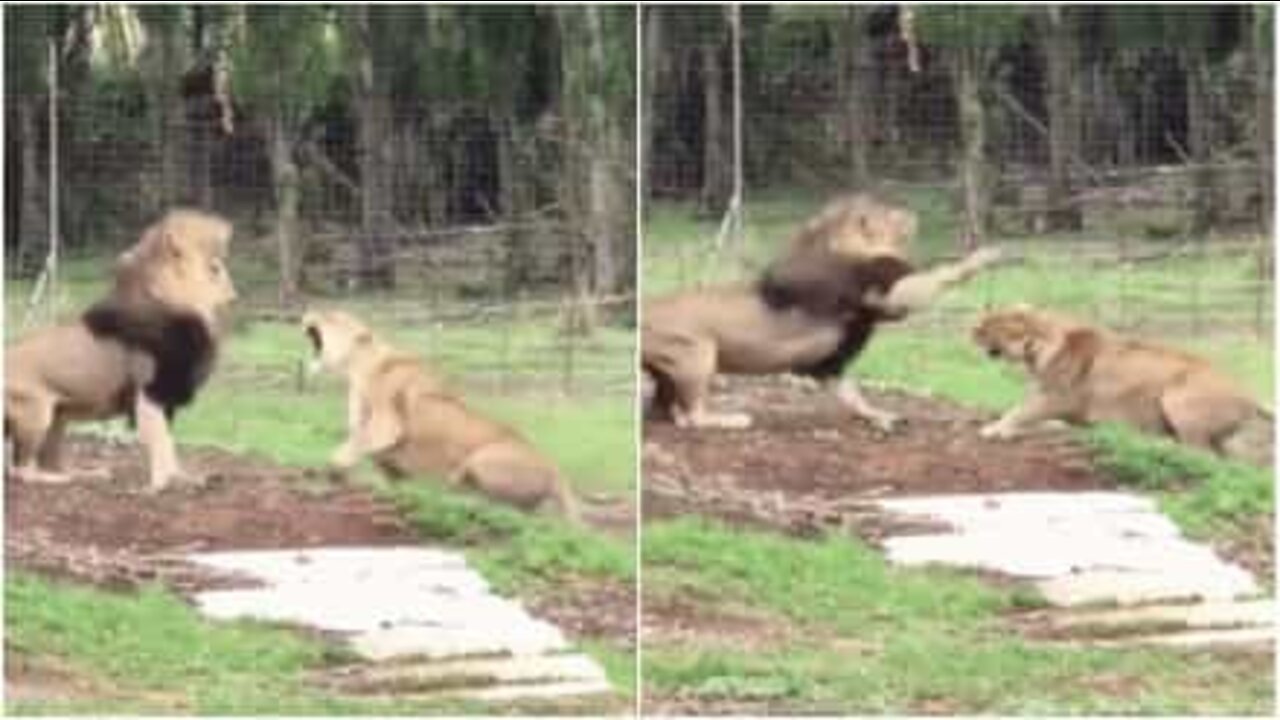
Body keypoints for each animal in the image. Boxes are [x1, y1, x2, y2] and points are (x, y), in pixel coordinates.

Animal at [4, 207, 238, 486]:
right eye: (215, 268)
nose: (234, 296)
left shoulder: (167, 398)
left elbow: (170, 445)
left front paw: (185, 478)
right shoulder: (150, 391)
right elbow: (159, 442)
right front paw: (161, 486)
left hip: (59, 417)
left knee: (51, 462)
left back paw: (88, 473)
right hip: (36, 414)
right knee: (20, 471)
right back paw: (61, 480)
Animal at [299, 304, 581, 517]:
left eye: (331, 315)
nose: (307, 310)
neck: (357, 366)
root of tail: (558, 474)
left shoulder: (388, 424)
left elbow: (348, 448)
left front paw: (327, 474)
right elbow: (382, 468)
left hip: (483, 458)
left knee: (500, 505)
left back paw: (453, 495)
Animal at [640, 190, 998, 425]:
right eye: (887, 211)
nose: (910, 212)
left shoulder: (832, 359)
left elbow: (849, 392)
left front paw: (877, 415)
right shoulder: (884, 290)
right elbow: (937, 275)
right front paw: (983, 257)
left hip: (672, 371)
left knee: (665, 410)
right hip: (698, 355)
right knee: (692, 417)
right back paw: (732, 419)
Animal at [977, 299, 1269, 461]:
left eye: (992, 322)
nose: (972, 329)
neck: (1037, 347)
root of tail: (1250, 395)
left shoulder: (1057, 398)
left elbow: (1020, 411)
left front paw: (995, 429)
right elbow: (1032, 416)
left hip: (1179, 398)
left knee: (1200, 455)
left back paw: (1153, 445)